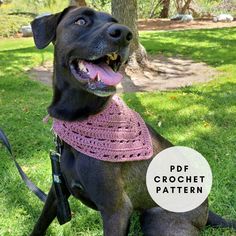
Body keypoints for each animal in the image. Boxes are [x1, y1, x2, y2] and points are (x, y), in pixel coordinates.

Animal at [30, 6, 235, 235]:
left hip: (156, 218)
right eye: (81, 21)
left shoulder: (116, 210)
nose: (124, 34)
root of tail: (208, 211)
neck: (81, 119)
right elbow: (40, 223)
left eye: (114, 22)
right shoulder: (56, 193)